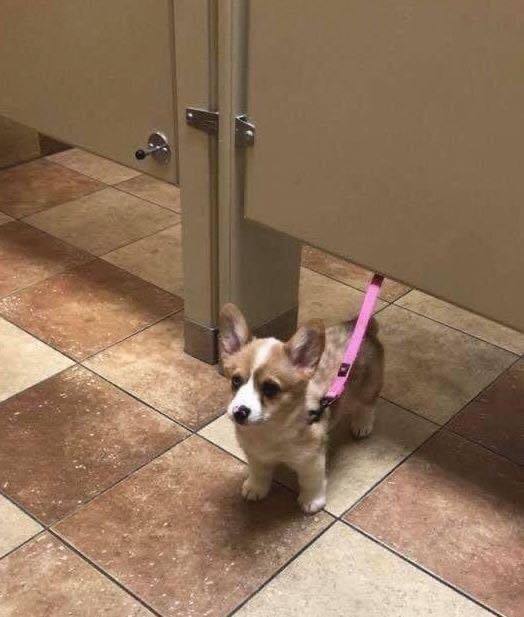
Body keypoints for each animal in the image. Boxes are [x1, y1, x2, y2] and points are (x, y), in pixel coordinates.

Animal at [219, 303, 384, 514]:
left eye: (270, 388)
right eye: (236, 380)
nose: (239, 412)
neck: (270, 429)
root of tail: (360, 326)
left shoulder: (311, 460)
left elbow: (310, 481)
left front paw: (312, 501)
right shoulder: (256, 455)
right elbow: (259, 472)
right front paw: (255, 488)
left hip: (369, 386)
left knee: (368, 404)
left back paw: (362, 424)